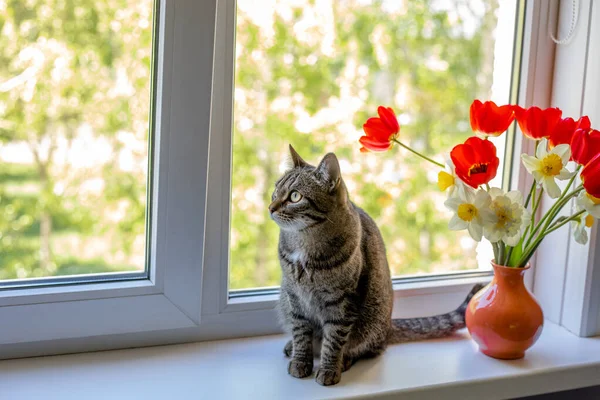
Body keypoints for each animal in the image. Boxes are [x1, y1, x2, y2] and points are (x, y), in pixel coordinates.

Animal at [270, 145, 482, 386]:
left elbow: (333, 340)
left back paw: (344, 360)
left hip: (371, 323)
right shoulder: (294, 298)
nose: (270, 207)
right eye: (275, 191)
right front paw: (300, 360)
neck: (303, 244)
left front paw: (328, 368)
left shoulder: (343, 303)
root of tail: (388, 326)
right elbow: (300, 333)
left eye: (295, 196)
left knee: (367, 348)